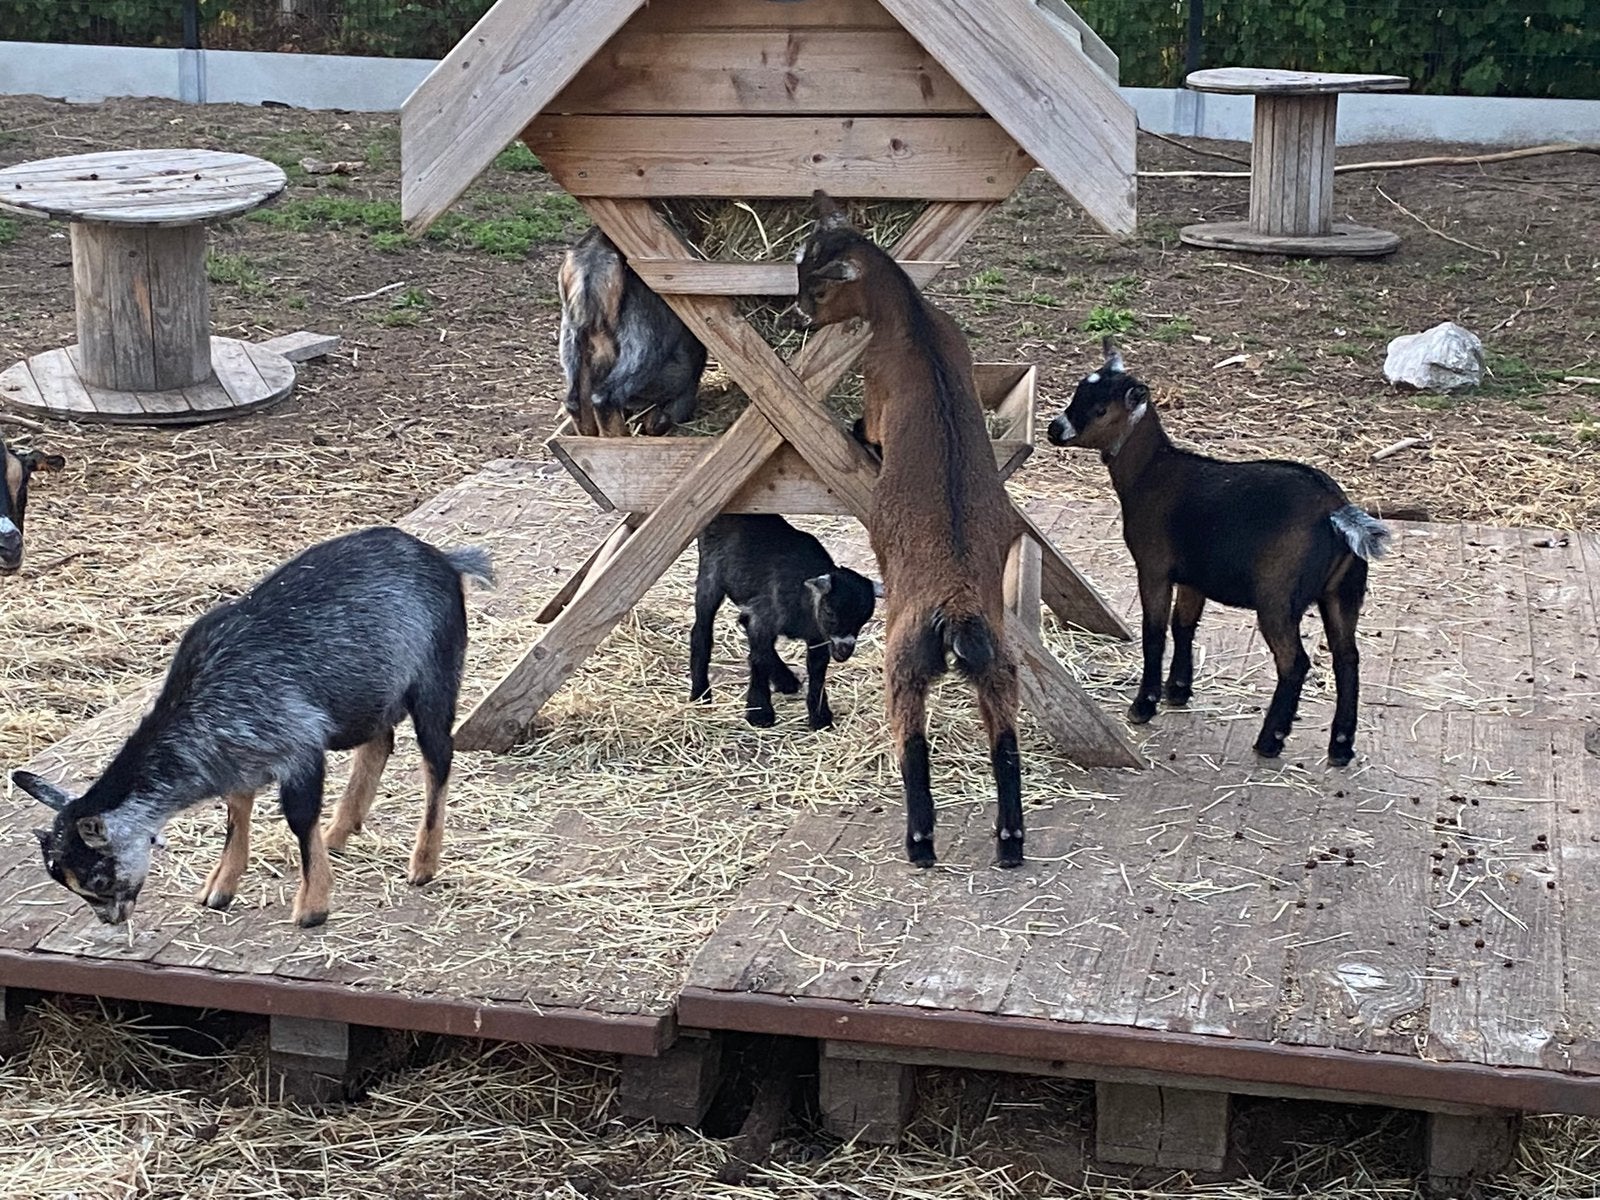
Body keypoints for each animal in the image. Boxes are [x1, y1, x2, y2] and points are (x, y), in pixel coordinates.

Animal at [14, 527, 493, 928]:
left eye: (96, 880)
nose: (112, 918)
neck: (204, 697)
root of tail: (443, 559)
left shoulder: (299, 744)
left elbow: (298, 818)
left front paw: (312, 906)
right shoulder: (239, 755)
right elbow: (236, 810)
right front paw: (220, 888)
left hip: (435, 671)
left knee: (437, 755)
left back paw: (423, 863)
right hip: (368, 693)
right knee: (380, 741)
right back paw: (340, 832)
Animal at [690, 514, 879, 731]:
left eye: (863, 620)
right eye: (830, 612)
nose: (844, 651)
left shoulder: (817, 636)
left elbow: (817, 669)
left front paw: (820, 715)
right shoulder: (764, 619)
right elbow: (760, 659)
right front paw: (759, 712)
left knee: (744, 622)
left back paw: (785, 680)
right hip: (710, 574)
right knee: (701, 630)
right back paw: (701, 693)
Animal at [792, 191, 1024, 869]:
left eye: (817, 287)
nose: (797, 317)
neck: (915, 323)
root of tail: (956, 606)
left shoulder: (877, 386)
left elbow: (865, 424)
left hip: (904, 655)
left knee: (912, 741)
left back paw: (920, 842)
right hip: (997, 660)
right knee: (1005, 739)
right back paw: (1010, 843)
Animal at [1046, 339, 1390, 766]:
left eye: (1100, 409)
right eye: (1078, 392)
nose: (1055, 429)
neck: (1149, 473)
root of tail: (1336, 511)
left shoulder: (1154, 567)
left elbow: (1155, 630)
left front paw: (1144, 705)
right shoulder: (1194, 576)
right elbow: (1184, 624)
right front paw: (1178, 691)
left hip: (1279, 596)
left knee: (1294, 662)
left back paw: (1270, 740)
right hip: (1343, 592)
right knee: (1347, 657)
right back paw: (1340, 746)